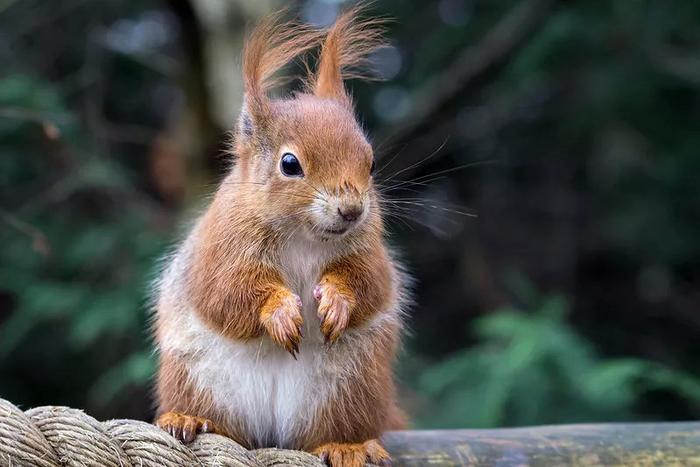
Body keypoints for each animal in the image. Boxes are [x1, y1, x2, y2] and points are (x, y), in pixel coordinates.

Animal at [150, 6, 408, 467]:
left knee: (333, 429)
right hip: (195, 377)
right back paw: (187, 419)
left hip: (351, 389)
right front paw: (280, 311)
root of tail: (272, 432)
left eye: (372, 162)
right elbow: (225, 292)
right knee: (217, 419)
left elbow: (370, 283)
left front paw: (338, 301)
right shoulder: (219, 249)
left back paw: (347, 445)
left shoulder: (370, 250)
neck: (305, 236)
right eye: (290, 164)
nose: (352, 210)